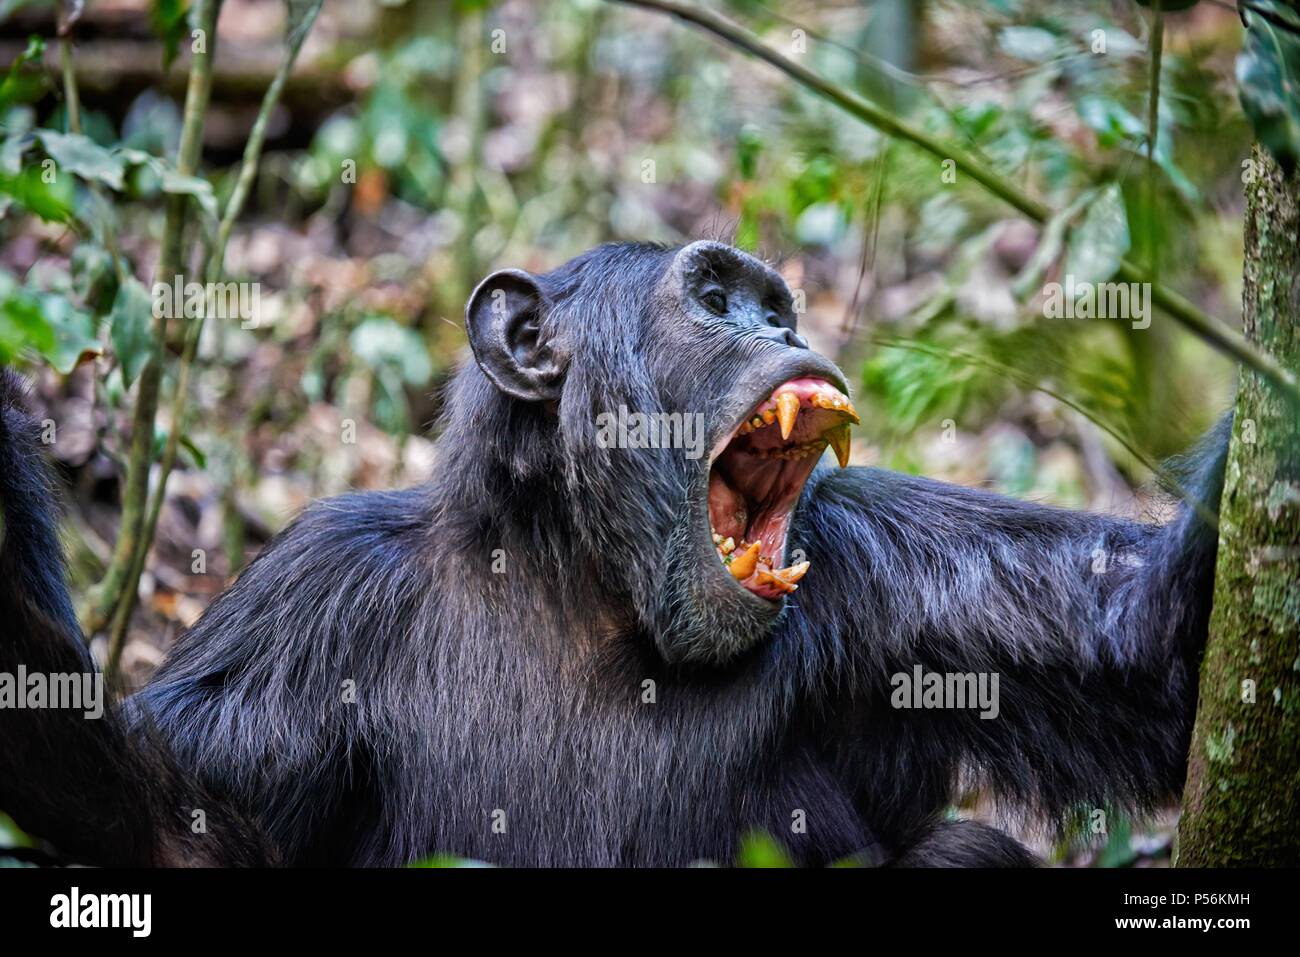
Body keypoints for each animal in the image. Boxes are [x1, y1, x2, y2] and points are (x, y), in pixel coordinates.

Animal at [0, 240, 1230, 867]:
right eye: (715, 297)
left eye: (774, 305)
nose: (782, 330)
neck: (583, 586)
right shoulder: (311, 596)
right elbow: (177, 827)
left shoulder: (883, 571)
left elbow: (1153, 662)